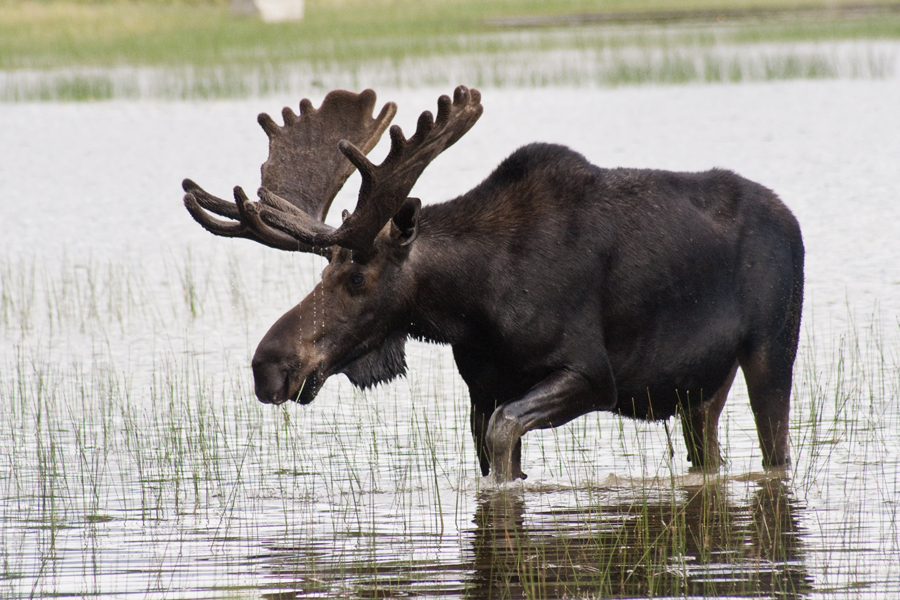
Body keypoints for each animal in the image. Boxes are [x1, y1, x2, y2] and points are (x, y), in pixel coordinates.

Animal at [181, 84, 800, 480]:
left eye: (357, 276)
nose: (268, 365)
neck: (473, 306)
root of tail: (790, 216)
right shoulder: (482, 390)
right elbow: (493, 450)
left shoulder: (591, 373)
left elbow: (505, 438)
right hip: (703, 386)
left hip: (771, 351)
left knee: (777, 451)